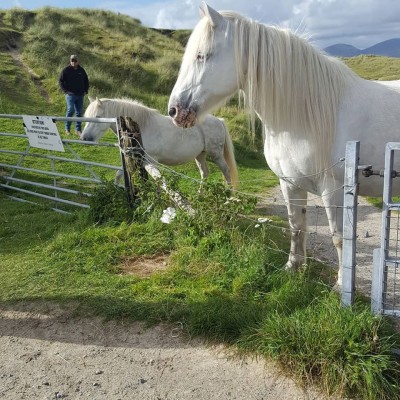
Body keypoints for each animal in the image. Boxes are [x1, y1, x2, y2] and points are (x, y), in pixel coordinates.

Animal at [80, 98, 238, 189]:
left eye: (98, 117)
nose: (84, 138)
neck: (142, 127)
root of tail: (219, 121)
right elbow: (119, 174)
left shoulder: (151, 162)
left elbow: (158, 182)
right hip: (200, 155)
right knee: (204, 173)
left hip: (216, 154)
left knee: (226, 171)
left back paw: (228, 197)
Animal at [167, 1, 400, 286]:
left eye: (202, 55)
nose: (175, 111)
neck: (306, 115)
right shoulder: (290, 183)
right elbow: (296, 226)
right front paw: (293, 267)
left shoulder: (333, 190)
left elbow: (339, 236)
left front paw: (341, 284)